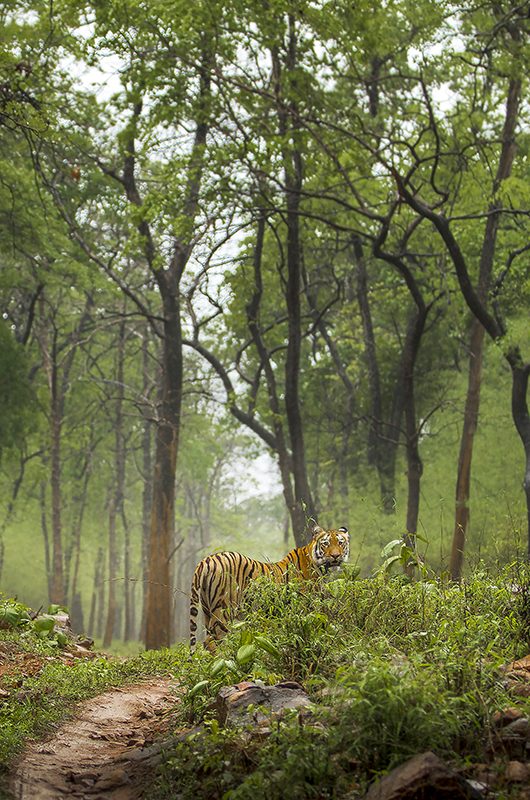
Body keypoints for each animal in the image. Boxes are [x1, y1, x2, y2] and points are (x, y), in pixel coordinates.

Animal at [189, 524, 346, 648]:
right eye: (326, 543)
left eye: (340, 543)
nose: (336, 556)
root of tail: (206, 560)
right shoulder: (306, 608)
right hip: (224, 610)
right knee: (213, 641)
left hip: (207, 610)